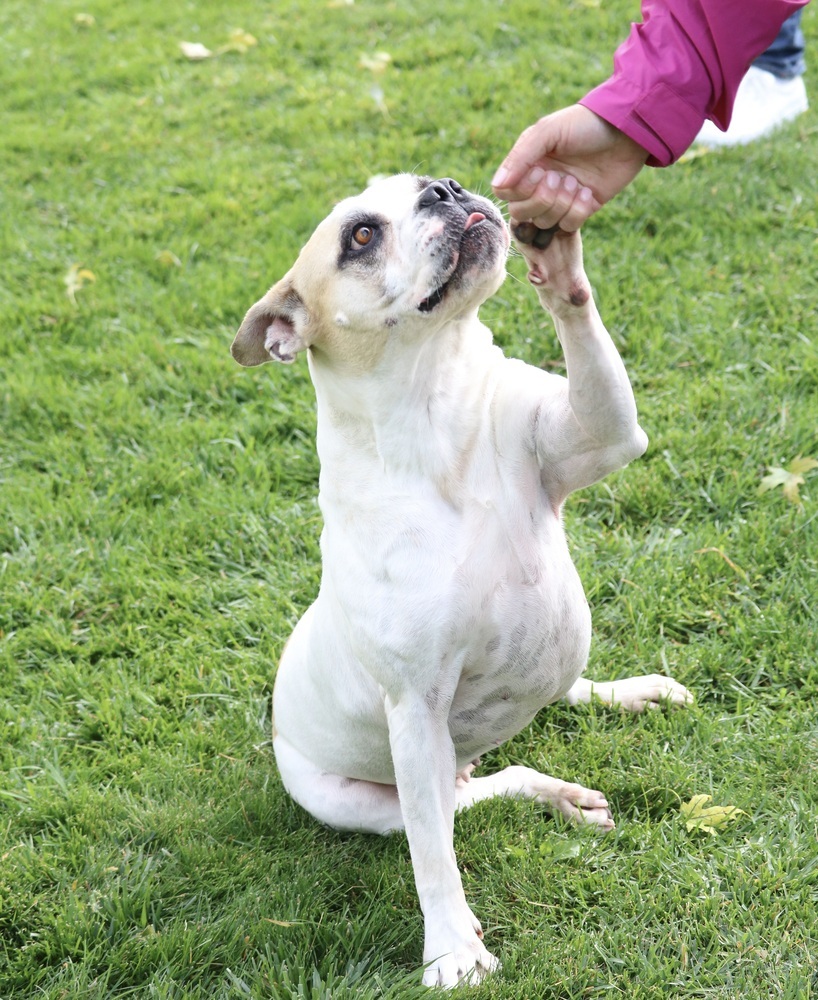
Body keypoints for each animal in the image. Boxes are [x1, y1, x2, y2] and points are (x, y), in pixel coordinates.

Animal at [228, 176, 688, 988]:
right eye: (360, 236)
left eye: (420, 184)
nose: (446, 189)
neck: (434, 402)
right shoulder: (415, 711)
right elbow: (432, 859)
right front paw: (451, 950)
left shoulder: (601, 432)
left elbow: (584, 342)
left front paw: (556, 260)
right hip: (367, 797)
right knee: (474, 796)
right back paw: (560, 798)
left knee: (556, 701)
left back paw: (632, 694)